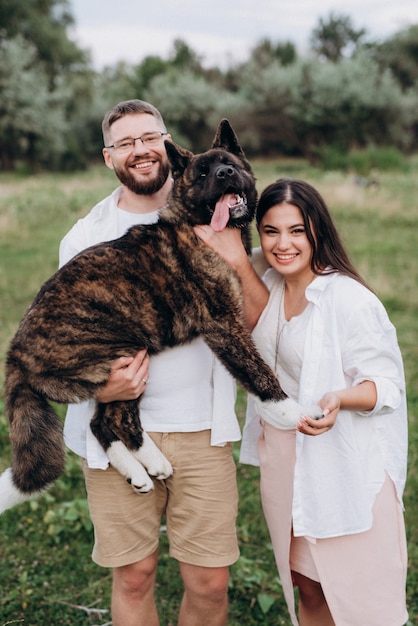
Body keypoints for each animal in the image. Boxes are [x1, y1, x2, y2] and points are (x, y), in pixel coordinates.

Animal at [0, 118, 318, 512]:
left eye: (228, 163)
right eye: (202, 173)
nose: (225, 173)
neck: (198, 226)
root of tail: (16, 354)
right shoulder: (224, 325)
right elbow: (260, 376)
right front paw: (295, 414)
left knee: (102, 423)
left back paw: (141, 470)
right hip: (122, 356)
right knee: (114, 419)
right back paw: (150, 463)